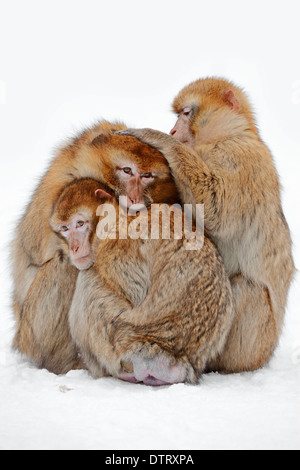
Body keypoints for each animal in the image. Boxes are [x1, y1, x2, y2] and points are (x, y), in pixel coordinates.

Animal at [50, 173, 234, 386]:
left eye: (80, 224)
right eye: (65, 228)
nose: (74, 248)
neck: (119, 219)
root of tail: (176, 359)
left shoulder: (117, 247)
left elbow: (133, 293)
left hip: (121, 336)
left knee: (88, 279)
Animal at [118, 78, 296, 374]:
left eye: (186, 113)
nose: (173, 130)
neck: (228, 135)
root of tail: (265, 356)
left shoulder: (239, 158)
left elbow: (215, 211)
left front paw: (161, 140)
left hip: (253, 347)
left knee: (246, 288)